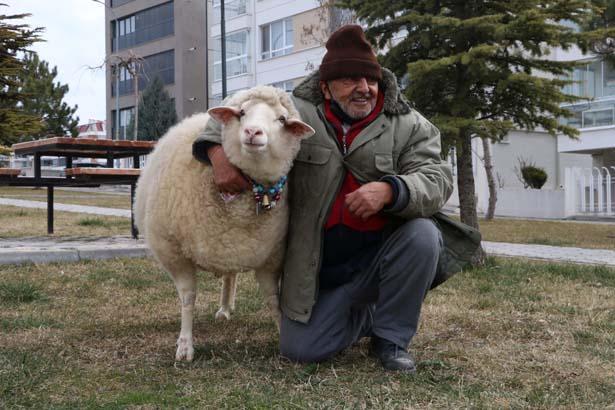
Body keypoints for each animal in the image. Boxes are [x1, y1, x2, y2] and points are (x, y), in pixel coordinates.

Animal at [135, 85, 318, 360]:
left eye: (282, 119)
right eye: (242, 112)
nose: (252, 132)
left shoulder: (271, 256)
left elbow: (273, 298)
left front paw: (282, 332)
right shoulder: (173, 252)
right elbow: (188, 297)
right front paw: (185, 345)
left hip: (232, 245)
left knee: (230, 275)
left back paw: (226, 306)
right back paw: (223, 309)